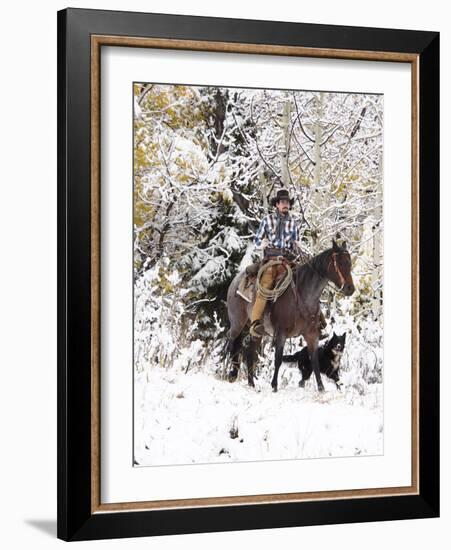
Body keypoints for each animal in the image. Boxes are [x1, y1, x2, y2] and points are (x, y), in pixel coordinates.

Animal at [226, 240, 356, 392]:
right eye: (339, 263)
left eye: (349, 263)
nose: (350, 288)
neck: (303, 295)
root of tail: (236, 280)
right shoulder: (281, 333)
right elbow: (278, 359)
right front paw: (274, 386)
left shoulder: (312, 335)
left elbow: (315, 362)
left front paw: (321, 388)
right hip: (237, 323)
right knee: (231, 343)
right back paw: (229, 373)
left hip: (256, 331)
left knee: (249, 352)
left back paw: (251, 384)